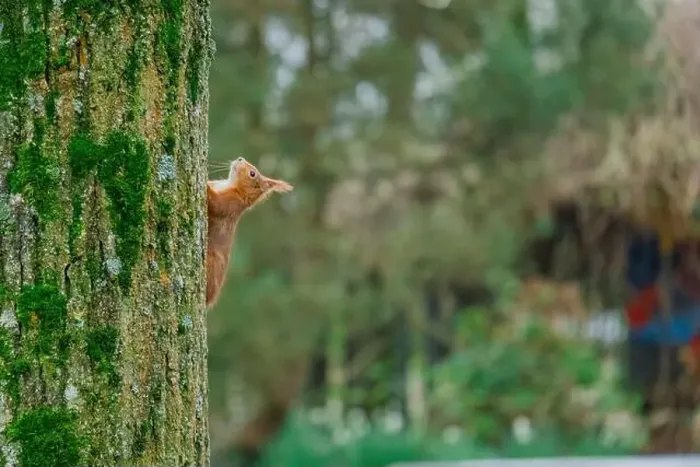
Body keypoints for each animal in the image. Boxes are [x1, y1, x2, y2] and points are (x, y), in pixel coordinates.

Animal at [206, 156, 293, 308]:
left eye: (252, 174)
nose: (240, 158)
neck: (230, 185)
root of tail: (210, 300)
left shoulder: (231, 204)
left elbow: (216, 205)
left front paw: (206, 189)